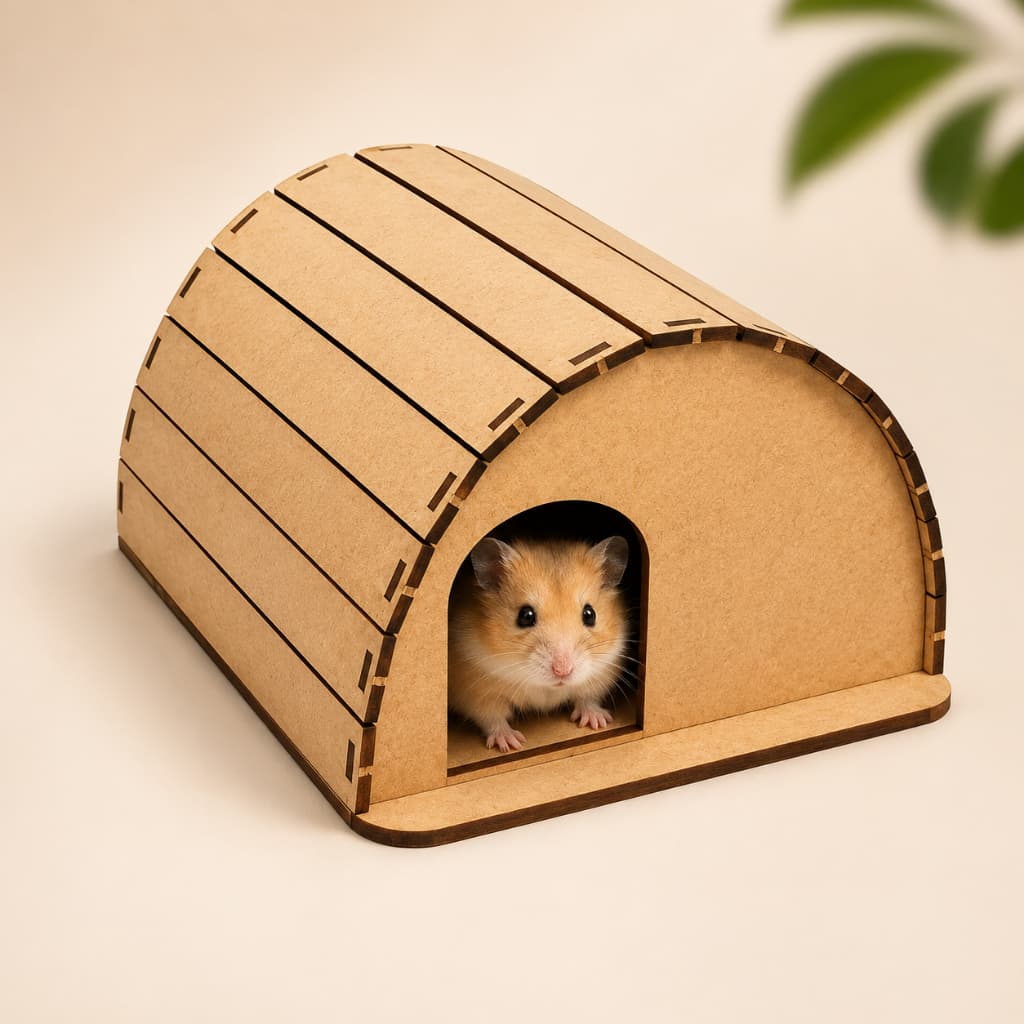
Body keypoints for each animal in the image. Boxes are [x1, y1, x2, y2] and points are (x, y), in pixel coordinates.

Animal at [448, 535, 630, 752]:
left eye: (590, 614)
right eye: (525, 616)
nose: (562, 671)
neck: (547, 687)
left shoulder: (600, 674)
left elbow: (587, 697)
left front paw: (598, 722)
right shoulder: (477, 692)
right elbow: (492, 717)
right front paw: (511, 744)